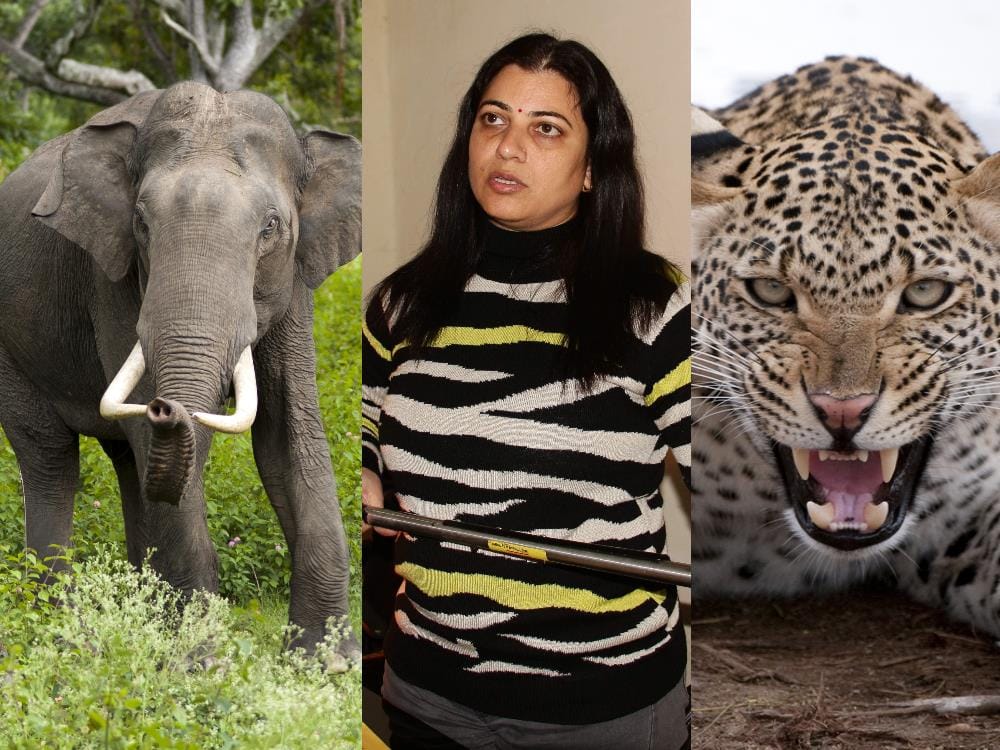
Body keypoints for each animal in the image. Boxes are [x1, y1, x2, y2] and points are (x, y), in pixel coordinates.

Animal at [0, 81, 360, 659]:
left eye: (271, 227)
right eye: (142, 223)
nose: (166, 406)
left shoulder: (296, 279)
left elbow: (287, 436)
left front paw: (326, 662)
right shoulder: (113, 277)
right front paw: (199, 661)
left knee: (128, 464)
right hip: (12, 353)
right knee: (51, 460)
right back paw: (69, 633)